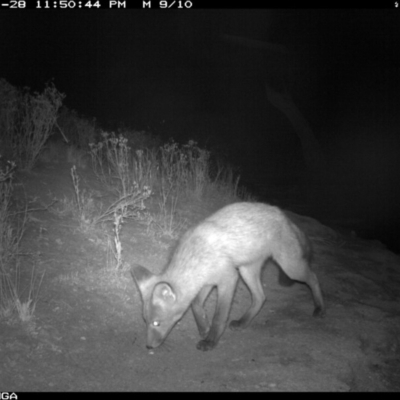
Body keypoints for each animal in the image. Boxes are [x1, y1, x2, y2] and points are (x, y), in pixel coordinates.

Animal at [131, 202, 324, 352]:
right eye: (145, 321)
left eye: (157, 323)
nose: (148, 346)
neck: (196, 255)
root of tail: (284, 216)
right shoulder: (207, 282)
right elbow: (196, 305)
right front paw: (204, 327)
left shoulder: (228, 279)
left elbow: (219, 317)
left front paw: (210, 341)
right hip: (247, 271)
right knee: (261, 297)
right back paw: (243, 323)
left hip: (290, 267)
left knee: (314, 277)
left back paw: (320, 308)